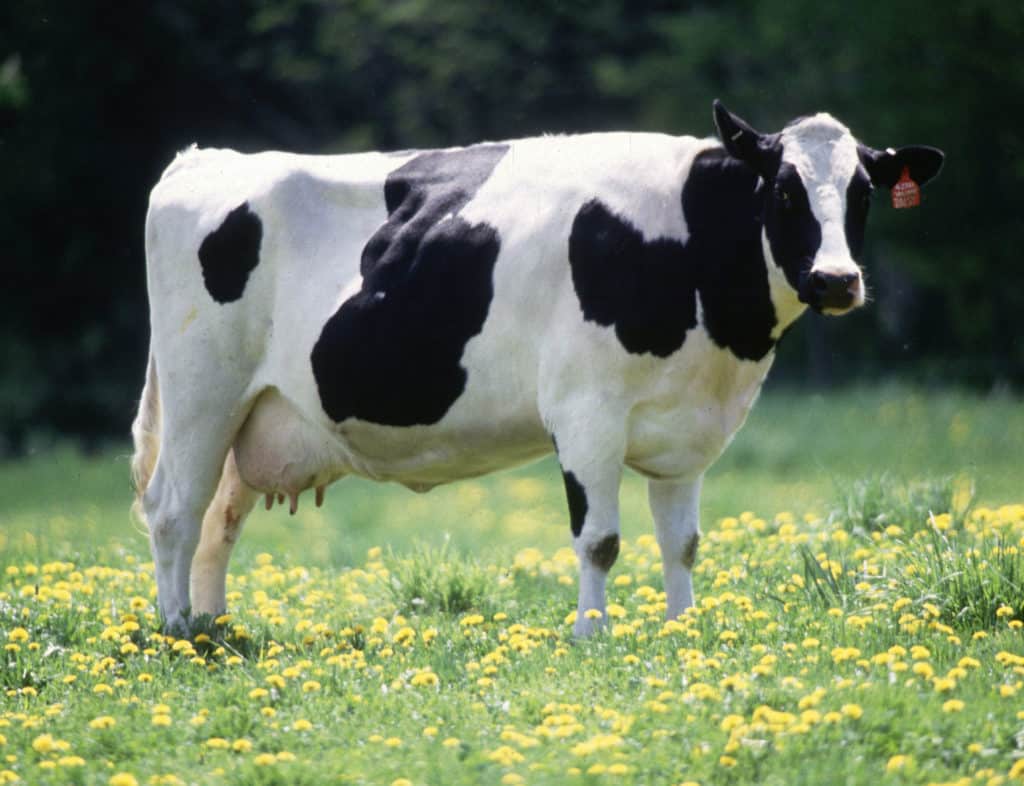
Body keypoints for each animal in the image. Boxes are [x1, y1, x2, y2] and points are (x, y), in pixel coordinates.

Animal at [131, 100, 944, 636]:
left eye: (863, 192)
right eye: (783, 189)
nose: (836, 280)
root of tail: (204, 159)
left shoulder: (688, 429)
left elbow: (681, 541)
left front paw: (683, 629)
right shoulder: (586, 412)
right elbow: (600, 539)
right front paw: (592, 634)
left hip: (254, 413)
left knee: (218, 519)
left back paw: (216, 627)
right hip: (202, 391)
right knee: (174, 509)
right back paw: (178, 632)